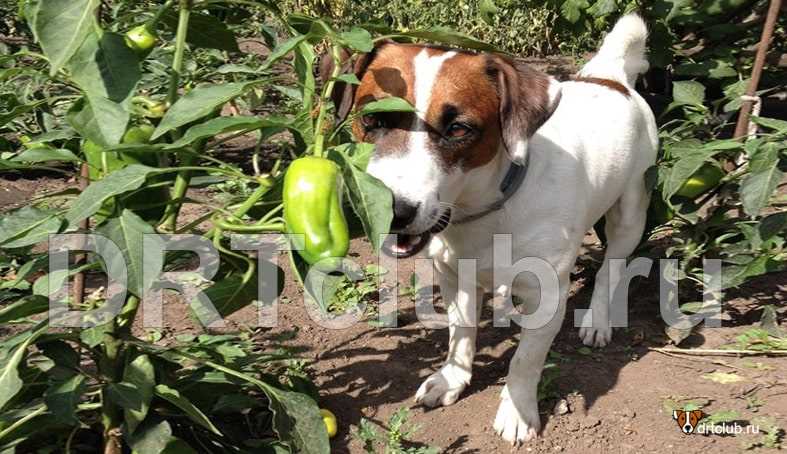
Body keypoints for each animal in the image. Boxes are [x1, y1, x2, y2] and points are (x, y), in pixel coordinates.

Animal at [326, 13, 660, 444]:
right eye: (372, 119)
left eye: (458, 129)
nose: (395, 211)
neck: (485, 211)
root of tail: (611, 77)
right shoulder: (453, 276)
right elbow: (461, 333)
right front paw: (452, 379)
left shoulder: (548, 295)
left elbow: (525, 361)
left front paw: (517, 411)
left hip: (631, 211)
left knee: (611, 268)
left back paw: (599, 320)